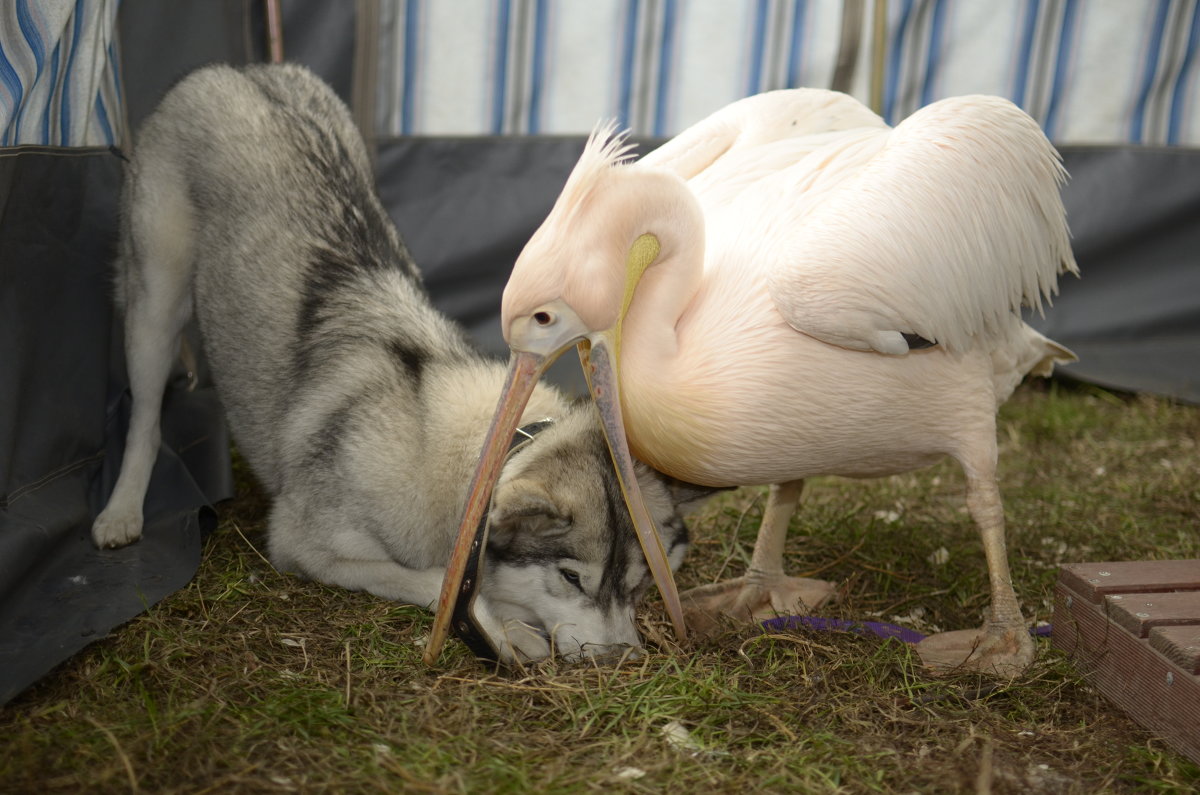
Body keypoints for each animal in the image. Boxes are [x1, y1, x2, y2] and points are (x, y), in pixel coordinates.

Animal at [96, 65, 710, 667]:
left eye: (636, 585)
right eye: (571, 578)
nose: (624, 660)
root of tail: (240, 71)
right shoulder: (301, 546)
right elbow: (439, 581)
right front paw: (507, 629)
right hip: (155, 306)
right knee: (145, 416)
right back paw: (122, 512)